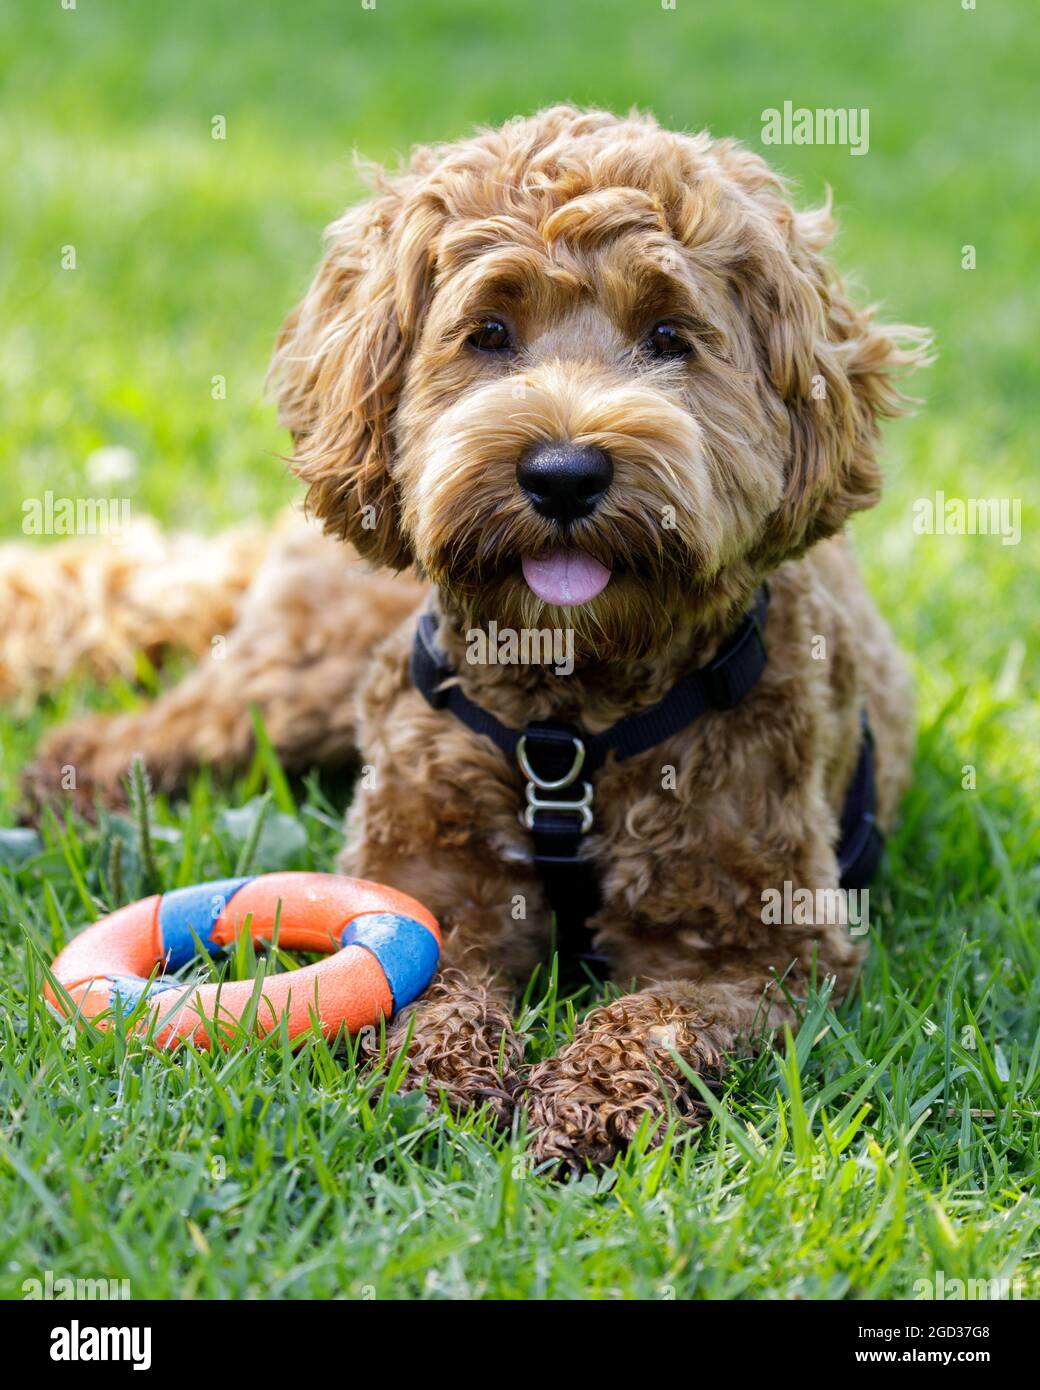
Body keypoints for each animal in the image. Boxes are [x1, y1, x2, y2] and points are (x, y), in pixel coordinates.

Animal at [22, 108, 928, 1167]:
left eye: (670, 337)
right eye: (489, 332)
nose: (565, 473)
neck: (570, 707)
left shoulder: (760, 947)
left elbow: (658, 1016)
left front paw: (588, 1098)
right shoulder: (427, 888)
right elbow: (437, 984)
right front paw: (440, 1079)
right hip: (298, 679)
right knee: (154, 729)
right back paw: (68, 785)